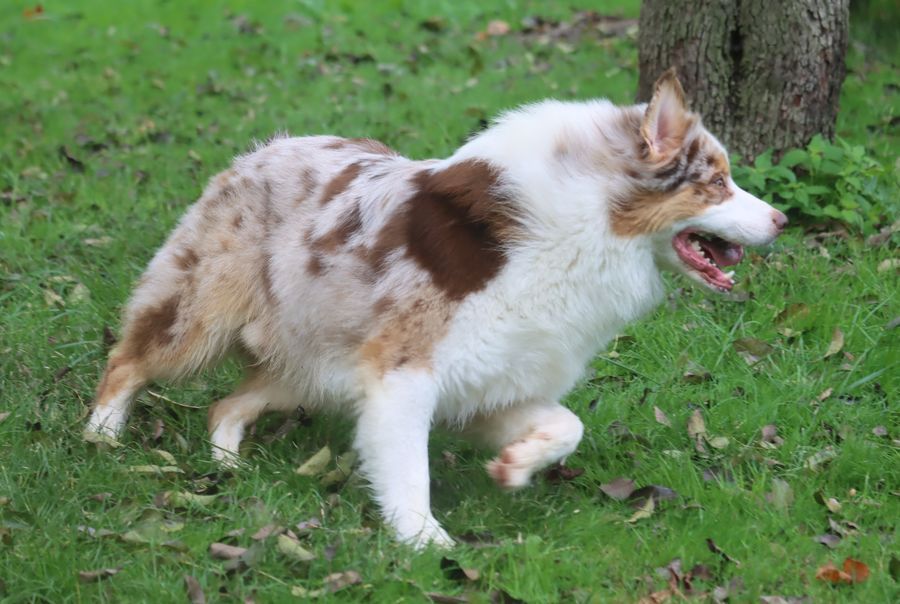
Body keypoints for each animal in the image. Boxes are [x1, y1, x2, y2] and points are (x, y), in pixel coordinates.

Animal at [86, 71, 788, 548]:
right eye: (718, 182)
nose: (782, 220)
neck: (584, 227)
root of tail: (257, 152)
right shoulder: (402, 375)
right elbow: (409, 472)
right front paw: (425, 545)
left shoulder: (495, 379)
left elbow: (568, 426)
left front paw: (515, 467)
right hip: (199, 320)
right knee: (127, 360)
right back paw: (102, 436)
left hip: (310, 368)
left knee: (225, 405)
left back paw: (227, 465)